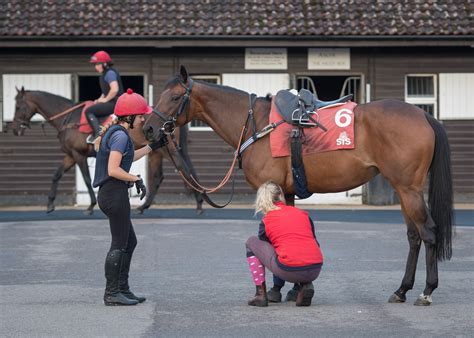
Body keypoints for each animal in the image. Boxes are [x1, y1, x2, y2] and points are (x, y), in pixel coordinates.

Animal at [11, 87, 202, 214]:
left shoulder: (78, 155)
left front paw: (91, 205)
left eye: (18, 107)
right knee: (158, 177)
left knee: (185, 169)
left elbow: (87, 179)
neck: (68, 119)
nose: (14, 129)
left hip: (168, 151)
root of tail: (170, 120)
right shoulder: (70, 156)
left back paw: (200, 203)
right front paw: (50, 203)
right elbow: (56, 175)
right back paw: (143, 207)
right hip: (157, 152)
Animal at [145, 64, 456, 304]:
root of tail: (423, 114)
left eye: (175, 97)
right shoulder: (289, 191)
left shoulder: (269, 188)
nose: (148, 128)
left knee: (428, 233)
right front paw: (295, 287)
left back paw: (426, 291)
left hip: (409, 189)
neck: (258, 125)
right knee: (414, 237)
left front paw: (274, 290)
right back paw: (402, 290)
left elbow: (268, 237)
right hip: (404, 190)